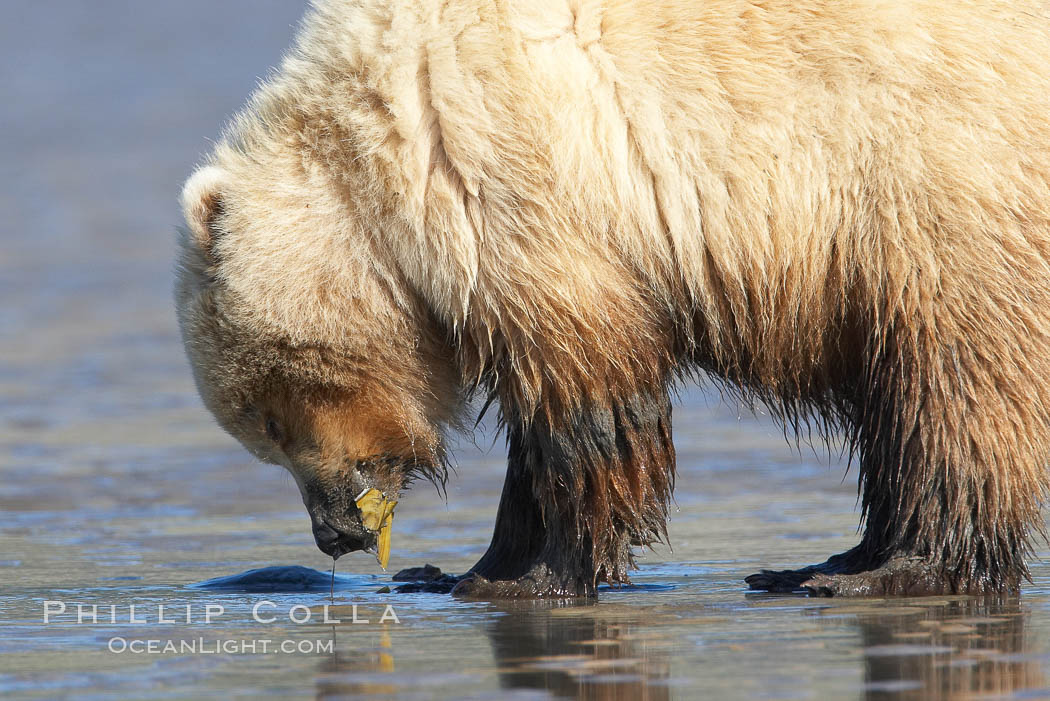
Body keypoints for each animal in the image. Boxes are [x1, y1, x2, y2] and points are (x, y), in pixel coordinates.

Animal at [176, 0, 1050, 596]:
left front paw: (532, 574)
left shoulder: (518, 177)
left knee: (951, 382)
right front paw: (468, 565)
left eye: (270, 415)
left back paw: (885, 565)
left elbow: (589, 406)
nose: (335, 531)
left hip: (939, 186)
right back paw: (837, 556)